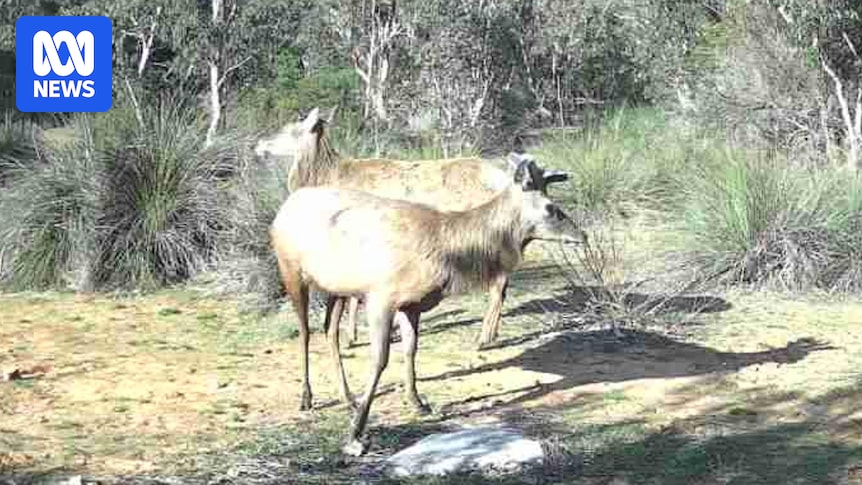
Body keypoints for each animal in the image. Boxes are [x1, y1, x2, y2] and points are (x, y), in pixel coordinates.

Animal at [255, 108, 570, 349]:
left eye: (290, 128)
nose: (258, 144)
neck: (324, 174)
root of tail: (503, 179)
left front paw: (353, 336)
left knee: (500, 283)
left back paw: (484, 338)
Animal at [270, 158, 584, 455]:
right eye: (551, 207)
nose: (581, 235)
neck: (450, 254)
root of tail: (283, 207)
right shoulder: (381, 297)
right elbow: (380, 360)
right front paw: (356, 433)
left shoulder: (411, 305)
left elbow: (411, 350)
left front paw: (416, 401)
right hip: (291, 271)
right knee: (305, 332)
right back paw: (307, 397)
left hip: (337, 288)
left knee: (329, 330)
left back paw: (347, 396)